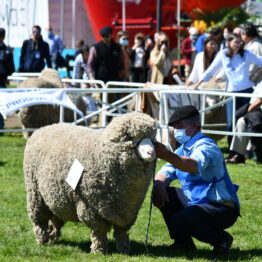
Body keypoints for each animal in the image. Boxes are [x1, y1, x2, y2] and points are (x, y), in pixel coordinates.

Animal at [23, 112, 157, 254]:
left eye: (153, 138)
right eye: (131, 137)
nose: (151, 152)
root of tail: (43, 128)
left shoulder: (128, 211)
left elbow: (122, 233)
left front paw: (124, 250)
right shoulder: (91, 207)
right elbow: (99, 231)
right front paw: (99, 250)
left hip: (56, 196)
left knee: (55, 218)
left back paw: (52, 237)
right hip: (35, 194)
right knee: (39, 221)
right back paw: (42, 241)